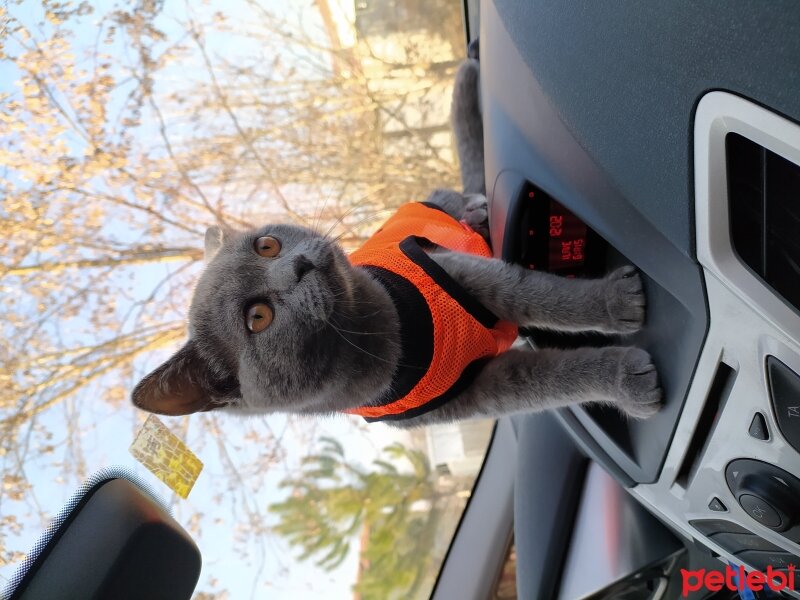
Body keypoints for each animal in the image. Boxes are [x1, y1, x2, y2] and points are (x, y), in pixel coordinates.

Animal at [131, 59, 664, 426]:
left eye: (267, 246)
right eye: (257, 317)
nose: (299, 264)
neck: (396, 339)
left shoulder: (462, 272)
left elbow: (543, 295)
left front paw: (617, 302)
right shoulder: (474, 394)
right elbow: (551, 382)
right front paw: (629, 380)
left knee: (453, 200)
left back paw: (471, 210)